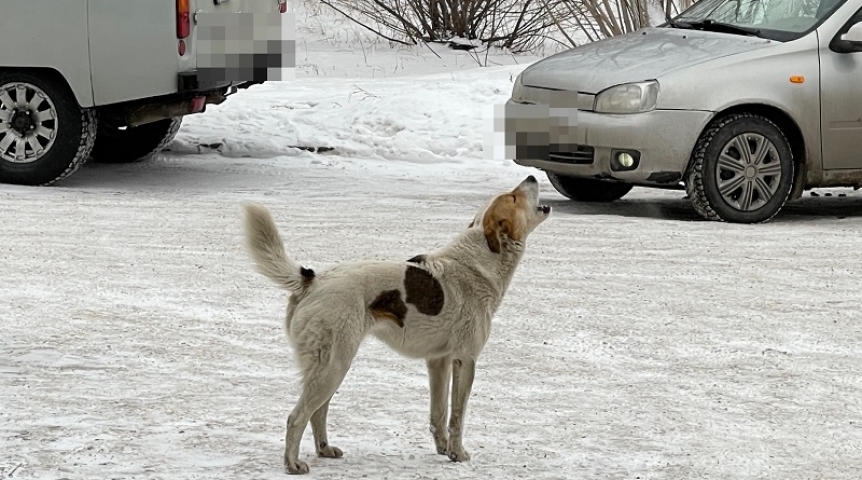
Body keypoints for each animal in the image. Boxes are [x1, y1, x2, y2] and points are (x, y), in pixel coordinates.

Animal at [243, 175, 552, 472]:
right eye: (513, 196)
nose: (531, 175)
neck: (476, 262)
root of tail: (313, 280)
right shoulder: (465, 360)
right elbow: (457, 416)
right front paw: (458, 453)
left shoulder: (438, 362)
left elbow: (439, 413)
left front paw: (443, 450)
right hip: (332, 367)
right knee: (296, 417)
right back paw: (292, 464)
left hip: (332, 368)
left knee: (317, 413)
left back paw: (324, 449)